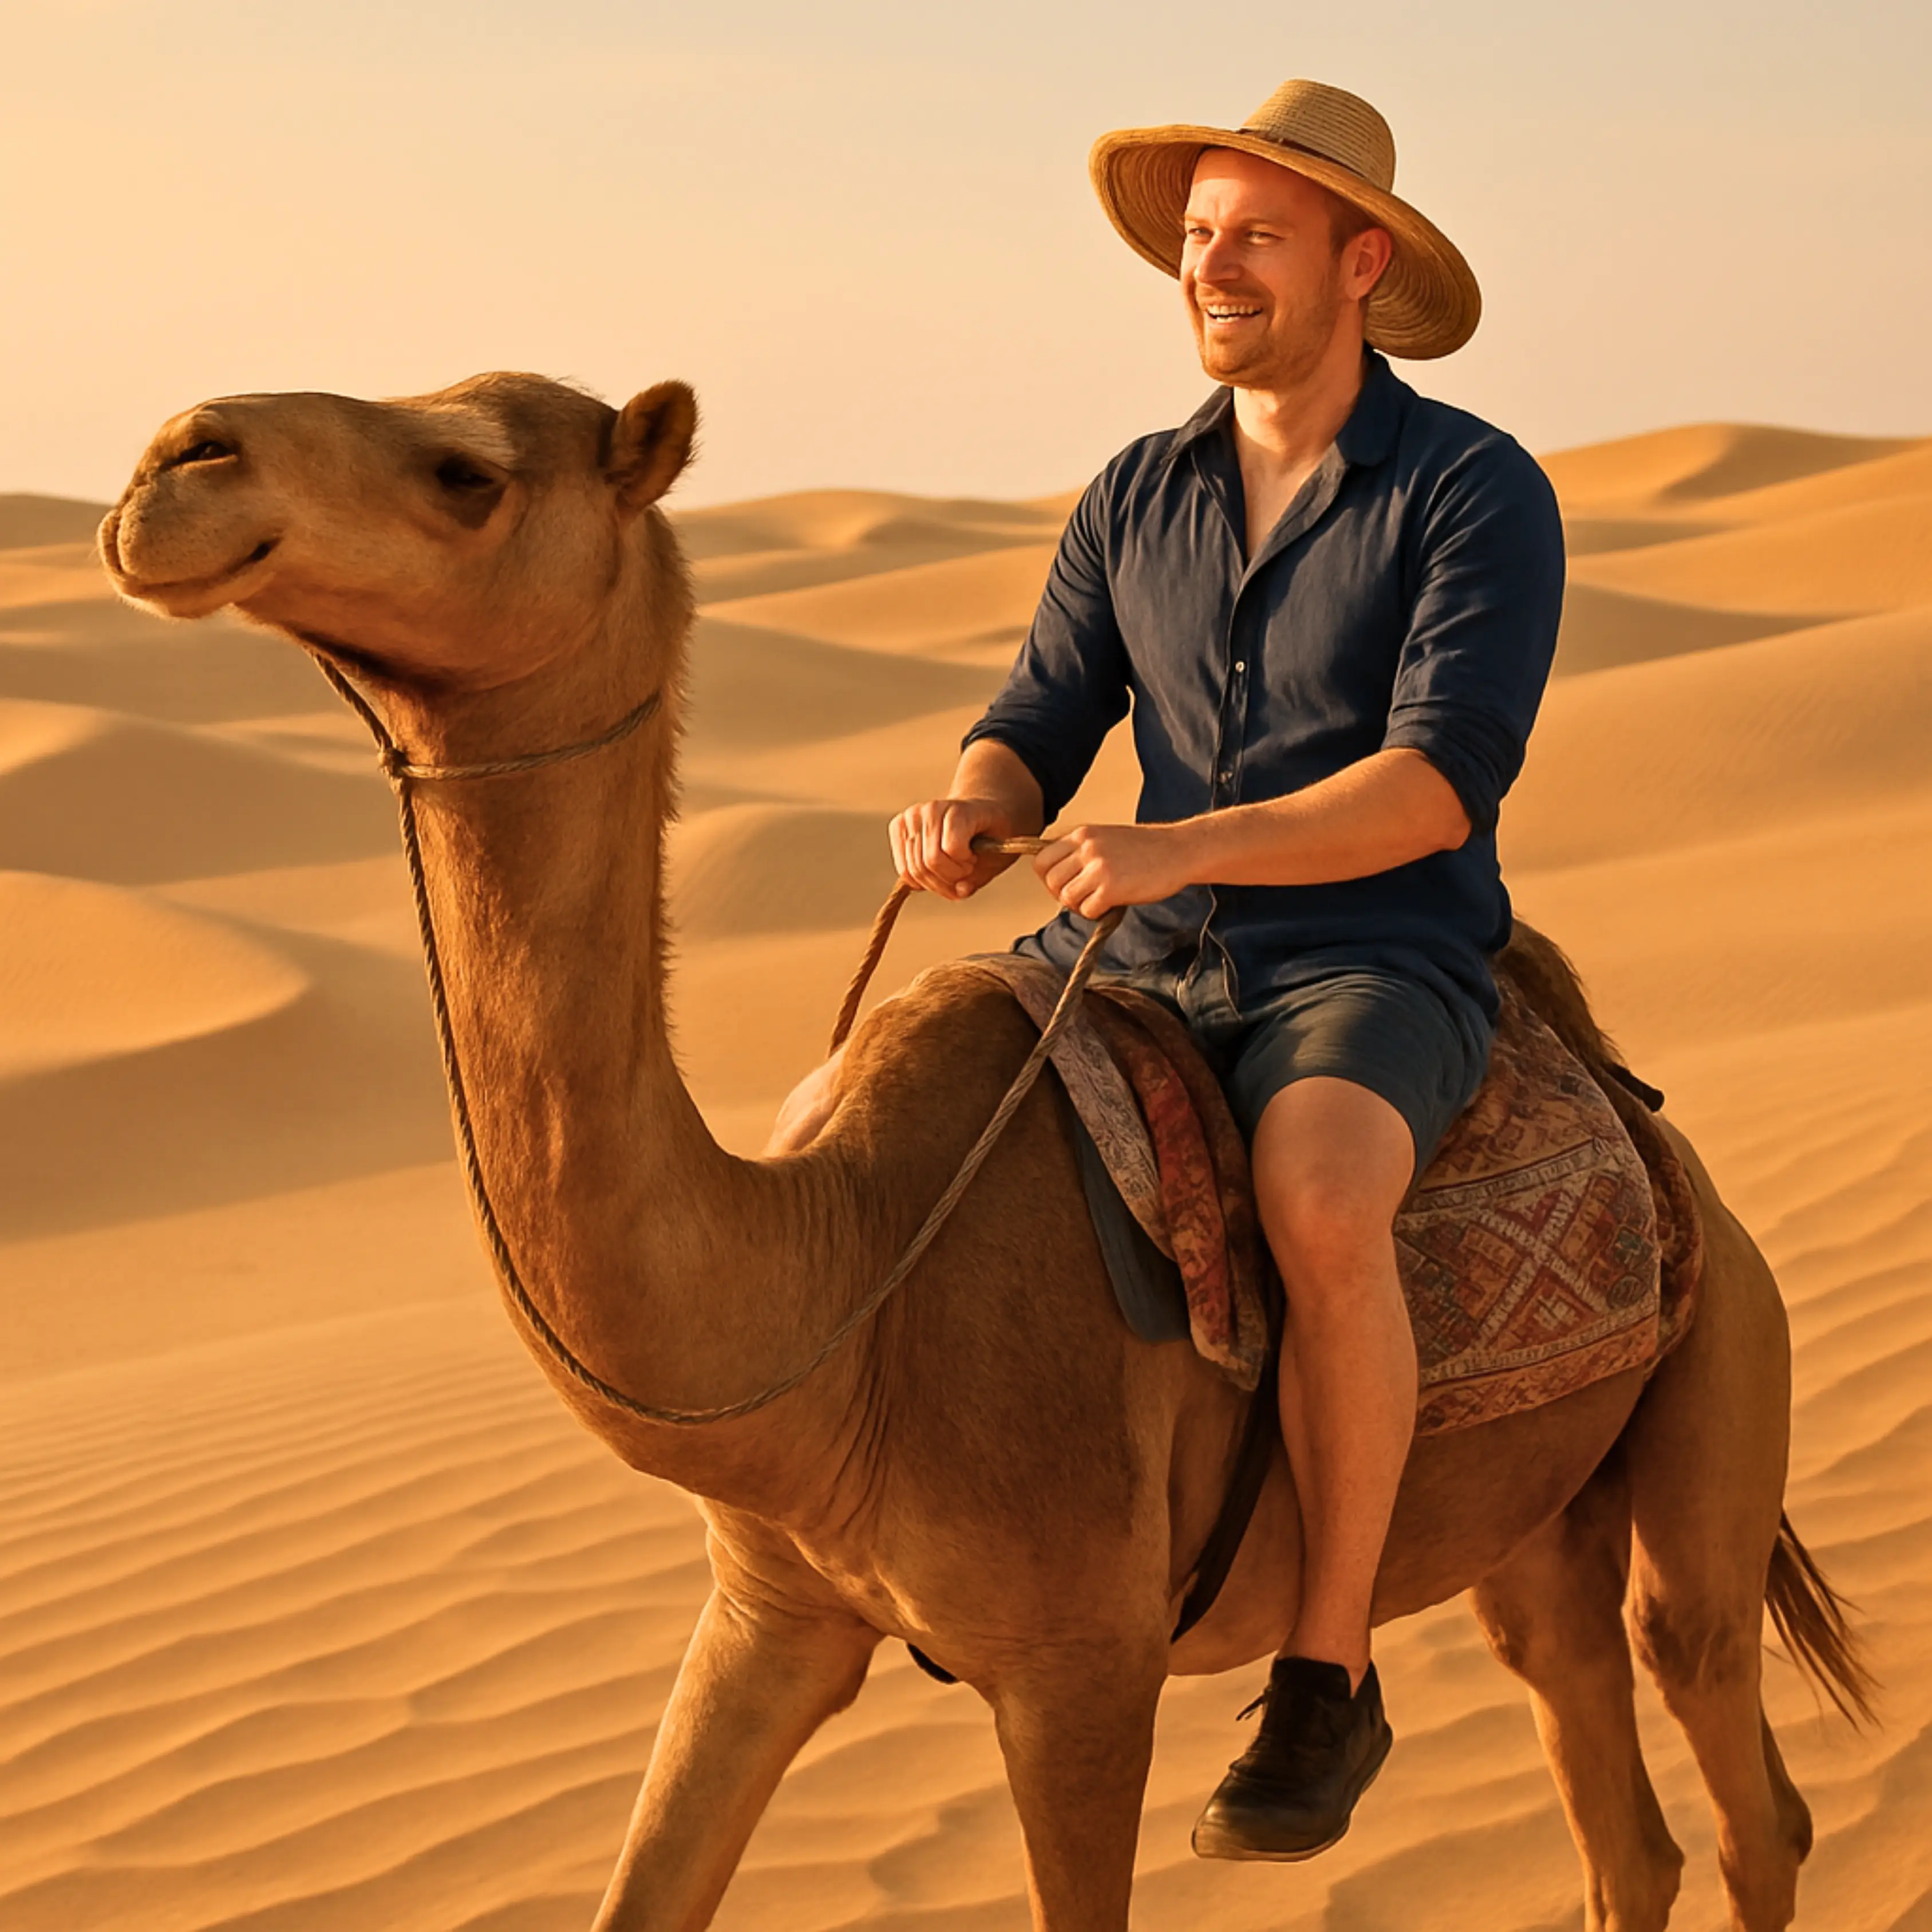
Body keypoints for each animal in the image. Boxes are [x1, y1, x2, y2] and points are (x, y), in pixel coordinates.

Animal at [100, 371, 1871, 1932]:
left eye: (465, 471)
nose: (172, 462)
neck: (843, 1301)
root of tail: (1666, 1157)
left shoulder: (1082, 1670)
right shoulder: (767, 1617)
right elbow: (645, 1886)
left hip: (1713, 1401)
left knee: (1734, 1763)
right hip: (1527, 1527)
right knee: (1615, 1806)